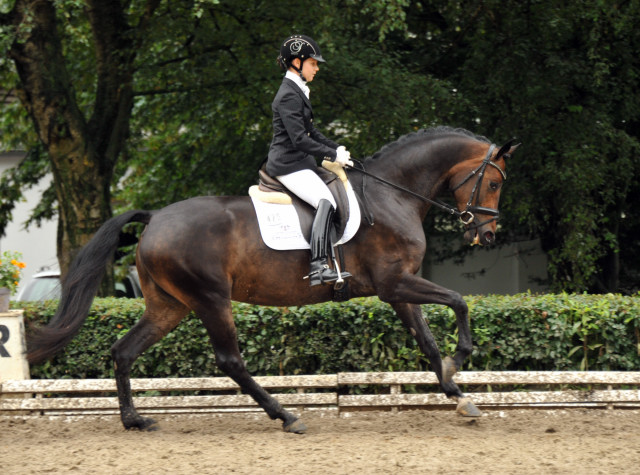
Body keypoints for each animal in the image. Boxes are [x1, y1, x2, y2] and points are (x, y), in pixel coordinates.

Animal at [27, 125, 520, 436]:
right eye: (495, 184)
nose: (487, 234)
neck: (392, 193)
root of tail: (154, 218)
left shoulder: (399, 289)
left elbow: (427, 341)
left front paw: (457, 394)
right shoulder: (393, 283)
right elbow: (458, 301)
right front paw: (462, 358)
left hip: (169, 305)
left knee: (123, 351)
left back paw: (135, 421)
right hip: (211, 299)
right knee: (230, 361)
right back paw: (286, 416)